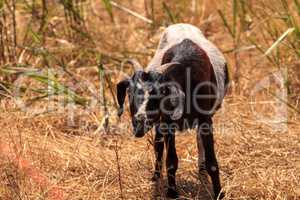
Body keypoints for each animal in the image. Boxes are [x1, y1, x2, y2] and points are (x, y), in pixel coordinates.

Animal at [116, 23, 229, 198]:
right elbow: (171, 161)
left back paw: (201, 171)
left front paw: (219, 193)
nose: (139, 120)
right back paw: (156, 176)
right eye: (129, 93)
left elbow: (212, 162)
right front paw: (172, 192)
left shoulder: (205, 120)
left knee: (197, 141)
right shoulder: (167, 122)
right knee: (158, 144)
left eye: (161, 93)